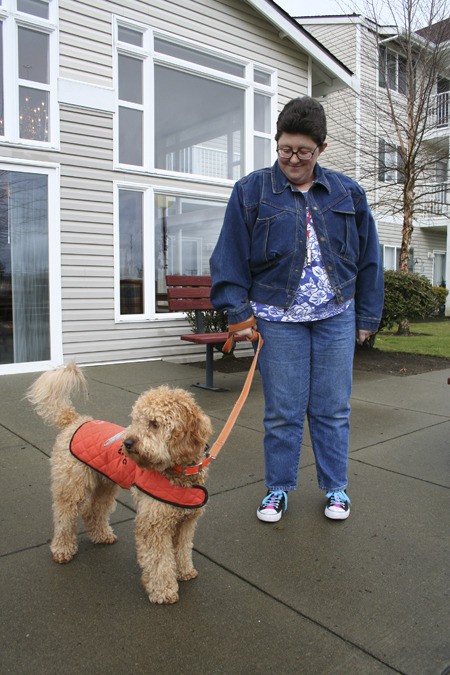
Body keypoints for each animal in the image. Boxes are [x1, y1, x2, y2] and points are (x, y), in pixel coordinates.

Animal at [26, 364, 213, 608]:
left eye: (154, 423)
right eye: (135, 420)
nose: (127, 443)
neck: (179, 472)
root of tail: (76, 419)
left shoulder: (186, 522)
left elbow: (182, 549)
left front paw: (184, 571)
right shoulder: (153, 524)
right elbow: (159, 561)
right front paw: (163, 590)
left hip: (105, 485)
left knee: (92, 511)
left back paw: (101, 535)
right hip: (72, 485)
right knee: (64, 516)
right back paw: (62, 549)